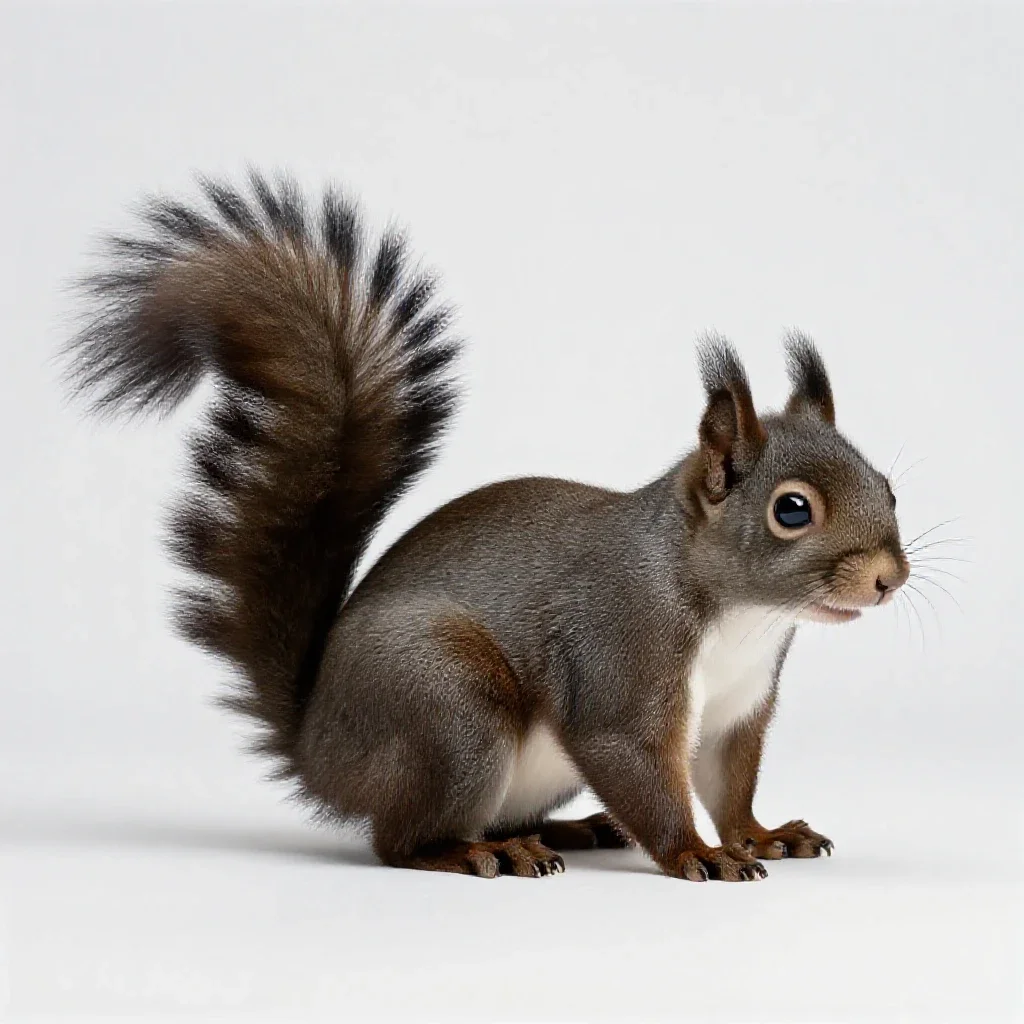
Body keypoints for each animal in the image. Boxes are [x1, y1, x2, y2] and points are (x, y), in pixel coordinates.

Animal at [64, 172, 910, 882]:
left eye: (890, 488)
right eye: (791, 509)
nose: (889, 578)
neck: (739, 614)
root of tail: (316, 748)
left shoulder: (738, 712)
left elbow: (728, 784)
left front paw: (762, 836)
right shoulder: (621, 662)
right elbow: (639, 767)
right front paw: (696, 854)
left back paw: (568, 830)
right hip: (450, 710)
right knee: (399, 841)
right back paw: (480, 852)